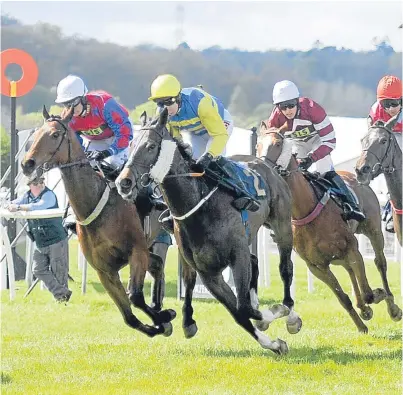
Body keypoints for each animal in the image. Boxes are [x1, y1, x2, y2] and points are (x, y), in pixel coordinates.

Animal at [20, 106, 175, 338]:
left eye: (55, 135)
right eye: (37, 133)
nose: (27, 164)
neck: (96, 204)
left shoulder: (137, 252)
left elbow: (135, 296)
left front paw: (165, 318)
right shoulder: (104, 271)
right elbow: (129, 317)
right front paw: (160, 321)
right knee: (157, 264)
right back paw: (158, 305)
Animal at [115, 109, 302, 356]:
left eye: (151, 146)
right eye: (130, 144)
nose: (123, 182)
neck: (200, 206)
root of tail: (264, 163)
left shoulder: (237, 255)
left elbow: (244, 307)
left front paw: (275, 313)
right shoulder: (208, 273)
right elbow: (240, 313)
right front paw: (273, 343)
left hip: (281, 227)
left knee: (285, 268)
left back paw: (290, 314)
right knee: (255, 264)